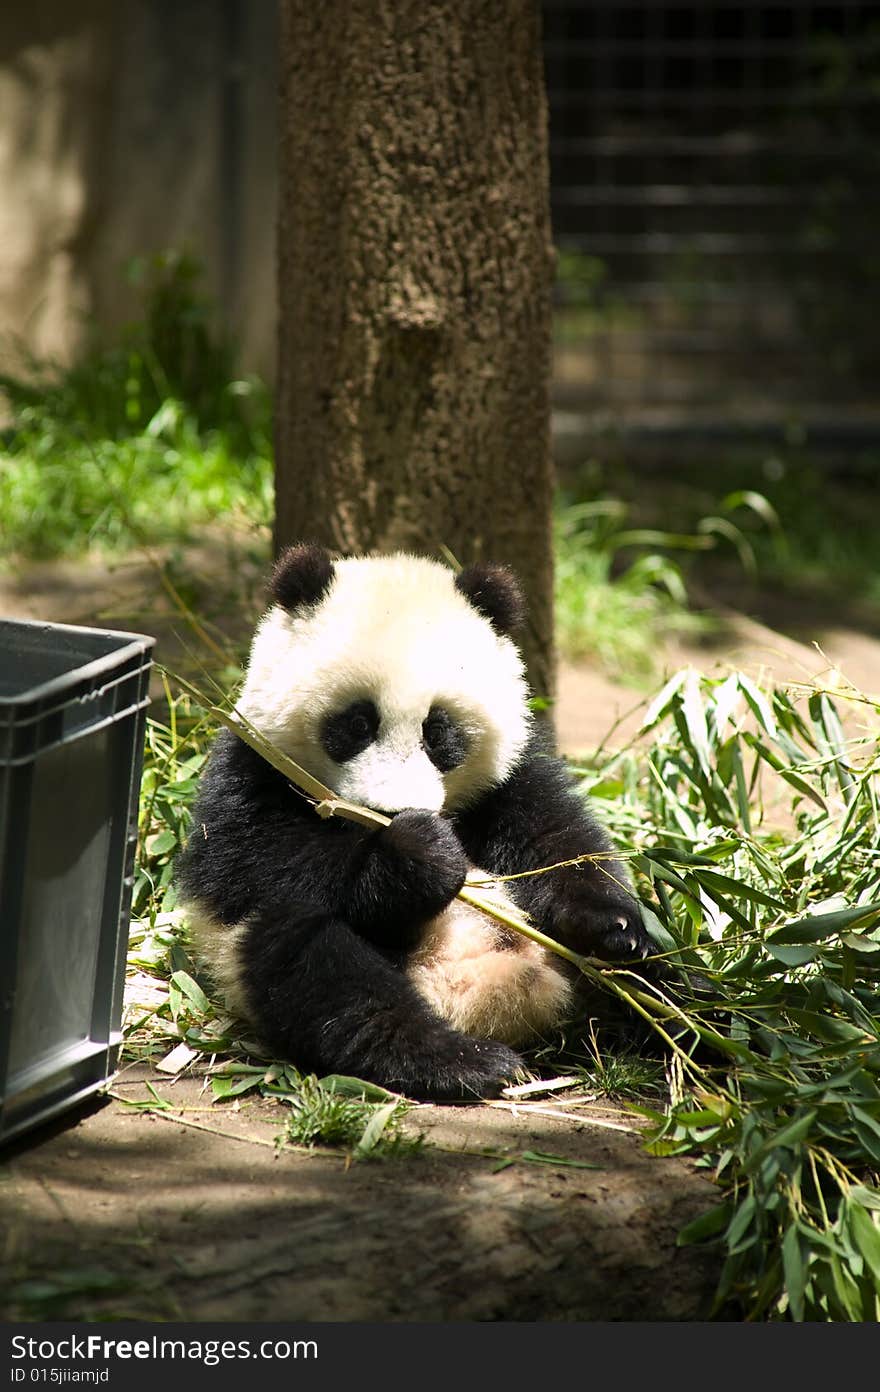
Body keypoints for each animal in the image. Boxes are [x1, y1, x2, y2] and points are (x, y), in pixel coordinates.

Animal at [175, 542, 648, 1096]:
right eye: (358, 723)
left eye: (437, 731)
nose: (392, 811)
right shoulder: (250, 767)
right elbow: (253, 859)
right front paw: (419, 855)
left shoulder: (510, 776)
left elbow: (558, 841)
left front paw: (615, 928)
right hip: (255, 956)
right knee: (317, 964)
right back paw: (459, 1060)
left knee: (658, 977)